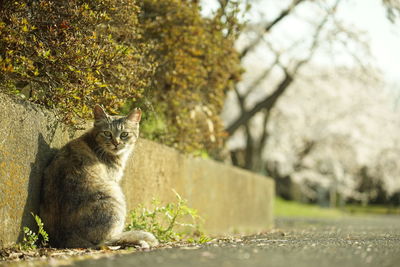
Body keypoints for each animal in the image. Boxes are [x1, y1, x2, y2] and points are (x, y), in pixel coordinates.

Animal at [39, 104, 158, 249]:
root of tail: (66, 236)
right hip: (114, 195)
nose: (116, 143)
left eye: (124, 134)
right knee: (106, 241)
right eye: (107, 133)